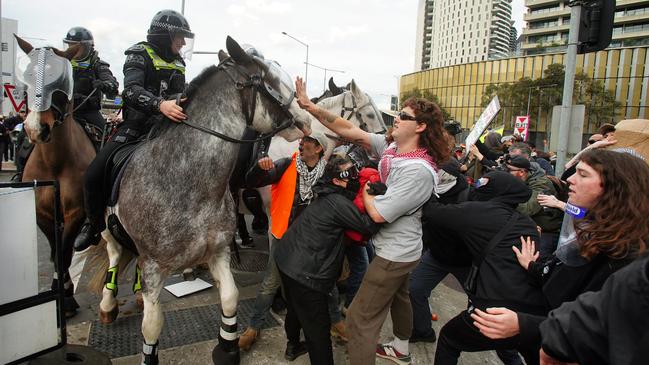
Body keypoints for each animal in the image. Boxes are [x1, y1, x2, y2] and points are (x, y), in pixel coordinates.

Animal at [15, 37, 96, 316]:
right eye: (27, 75)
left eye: (61, 81)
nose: (35, 128)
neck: (54, 162)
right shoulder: (42, 212)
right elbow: (55, 251)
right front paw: (59, 292)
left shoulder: (76, 211)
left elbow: (65, 251)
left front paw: (67, 296)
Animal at [94, 37, 314, 364]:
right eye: (271, 80)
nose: (308, 120)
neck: (185, 182)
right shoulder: (154, 266)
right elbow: (152, 326)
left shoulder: (218, 252)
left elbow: (230, 298)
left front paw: (227, 348)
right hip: (105, 227)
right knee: (113, 252)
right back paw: (109, 304)